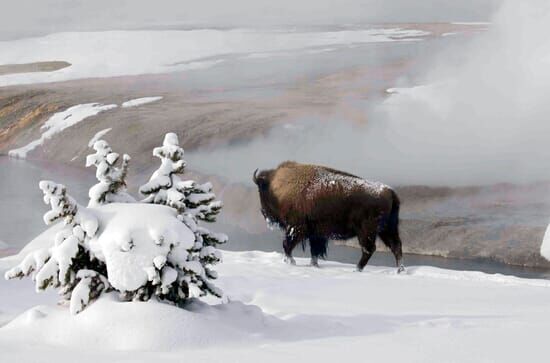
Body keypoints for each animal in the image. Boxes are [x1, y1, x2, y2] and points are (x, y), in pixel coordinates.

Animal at [254, 162, 406, 272]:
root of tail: (390, 192)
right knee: (396, 246)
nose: (263, 213)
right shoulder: (315, 234)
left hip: (367, 231)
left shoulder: (296, 228)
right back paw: (400, 270)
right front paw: (313, 265)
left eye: (261, 191)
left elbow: (287, 245)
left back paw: (357, 269)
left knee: (369, 249)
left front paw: (291, 262)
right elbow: (314, 251)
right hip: (387, 229)